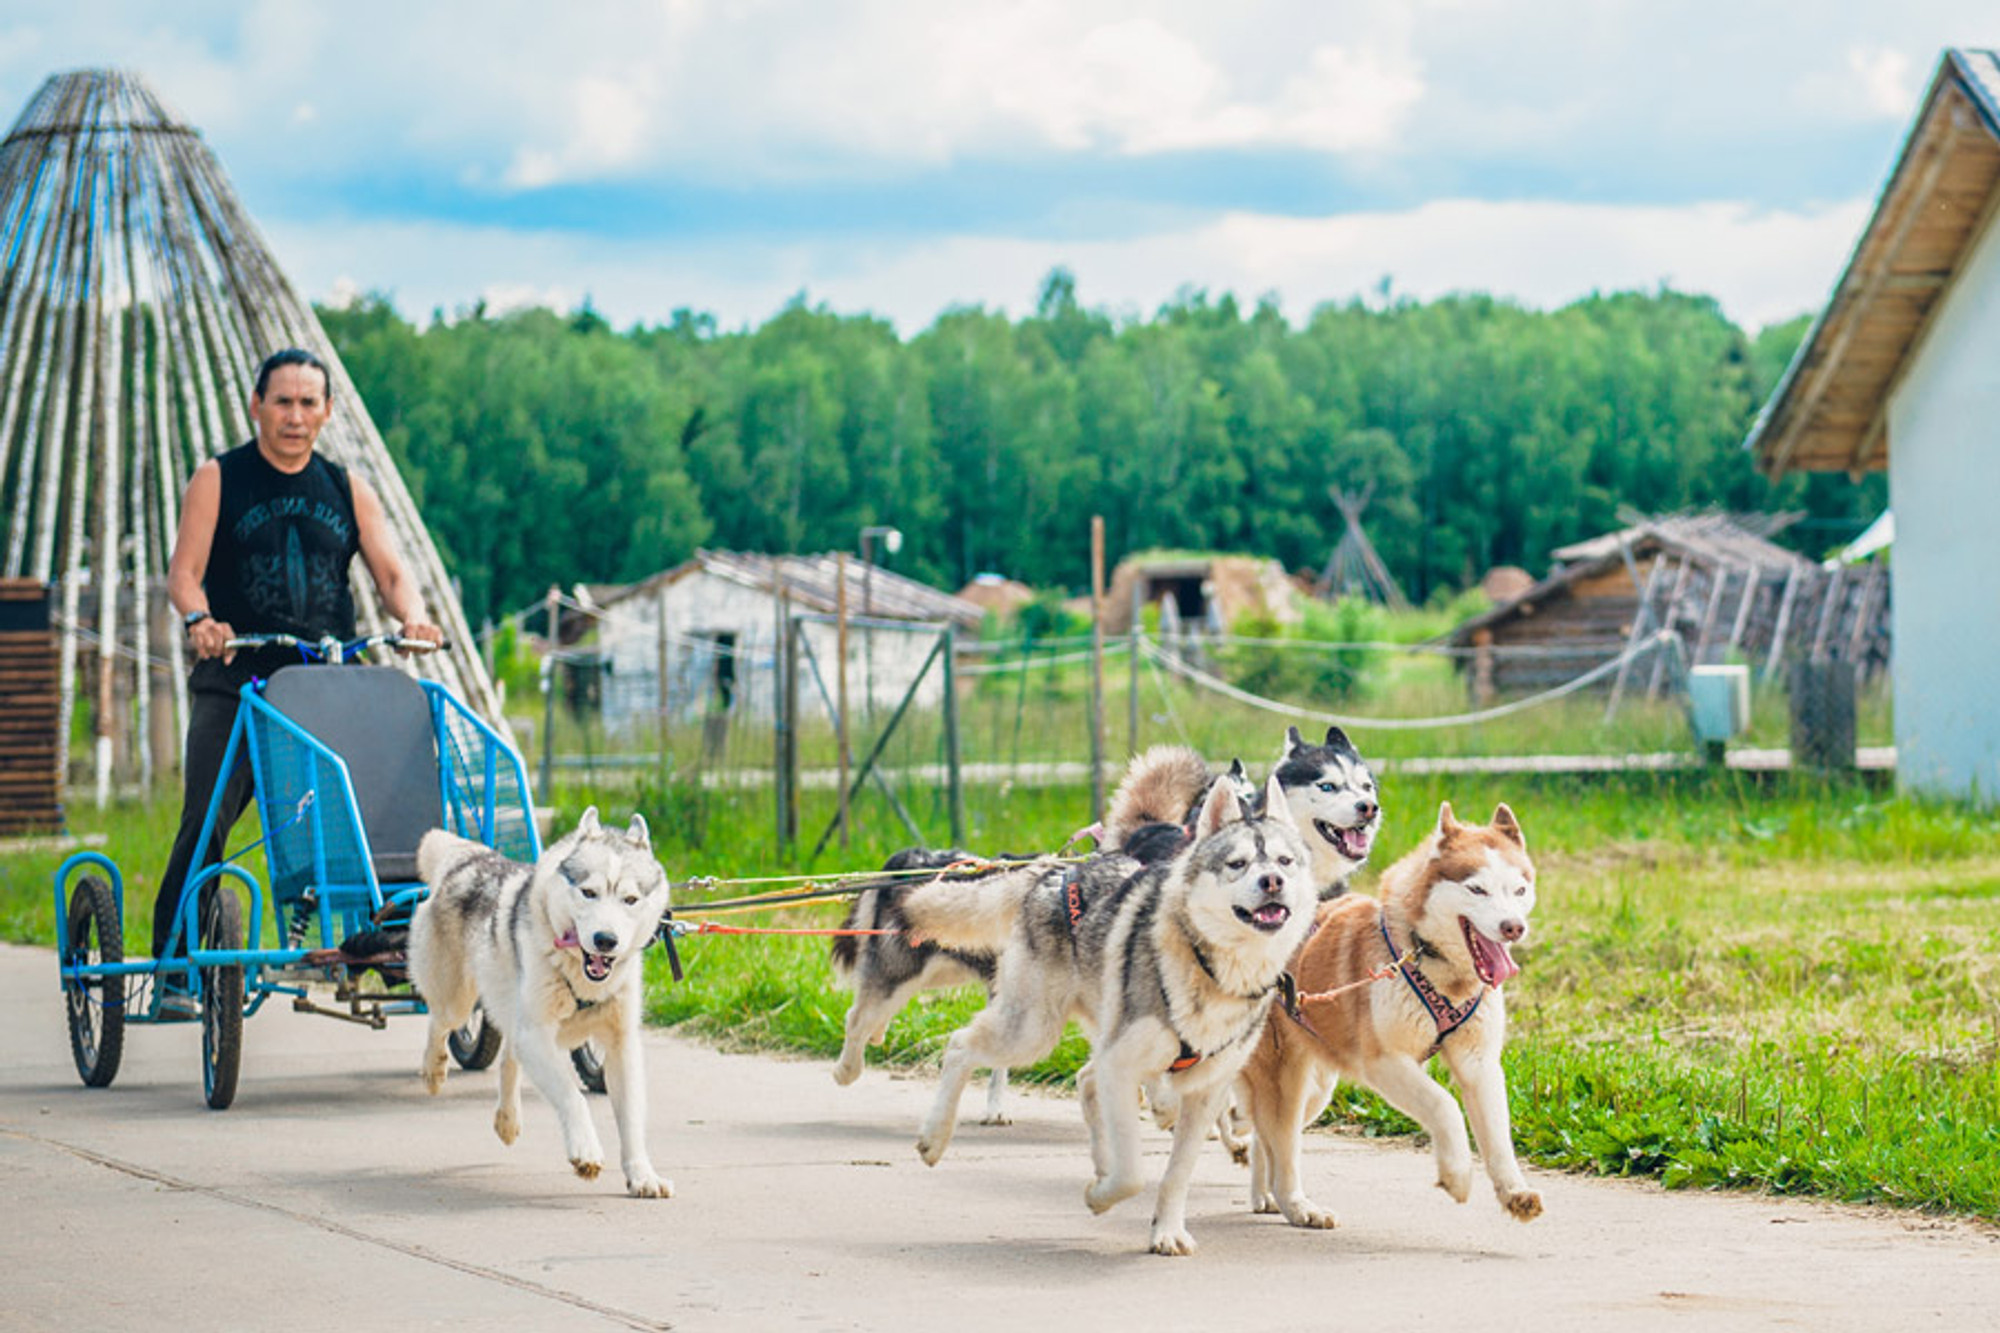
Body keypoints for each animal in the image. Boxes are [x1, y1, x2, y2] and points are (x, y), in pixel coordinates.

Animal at [410, 804, 676, 1200]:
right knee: (439, 1023)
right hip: (457, 1001)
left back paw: (507, 1119)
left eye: (630, 900)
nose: (606, 940)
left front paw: (642, 1174)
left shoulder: (620, 1044)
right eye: (589, 892)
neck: (580, 978)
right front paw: (586, 1151)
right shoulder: (536, 1034)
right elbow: (572, 1095)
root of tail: (472, 858)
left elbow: (631, 1119)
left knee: (508, 1056)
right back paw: (433, 1069)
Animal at [828, 844, 1016, 1112]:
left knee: (868, 1009)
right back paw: (846, 1070)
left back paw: (875, 1033)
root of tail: (907, 857)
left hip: (940, 971)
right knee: (857, 1017)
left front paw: (996, 1109)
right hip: (905, 969)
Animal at [904, 772, 1312, 1248]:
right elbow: (1133, 1172)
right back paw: (935, 1137)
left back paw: (1100, 1164)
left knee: (1084, 1081)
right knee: (960, 1045)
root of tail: (1054, 871)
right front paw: (1102, 1196)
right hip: (1032, 1032)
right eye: (1237, 863)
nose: (1272, 881)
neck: (1212, 968)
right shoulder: (1123, 1066)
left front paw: (1166, 1230)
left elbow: (1177, 1174)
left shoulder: (1204, 1090)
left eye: (1285, 861)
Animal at [1240, 800, 1536, 1224]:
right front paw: (1457, 1175)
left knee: (1261, 1138)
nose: (1513, 927)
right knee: (1281, 1145)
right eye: (1477, 888)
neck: (1434, 964)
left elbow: (1498, 1136)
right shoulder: (1383, 1062)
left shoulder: (1479, 1062)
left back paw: (1264, 1194)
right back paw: (1296, 1205)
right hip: (1283, 1081)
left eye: (1520, 889)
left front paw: (1515, 1191)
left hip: (1315, 1091)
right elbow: (1445, 1106)